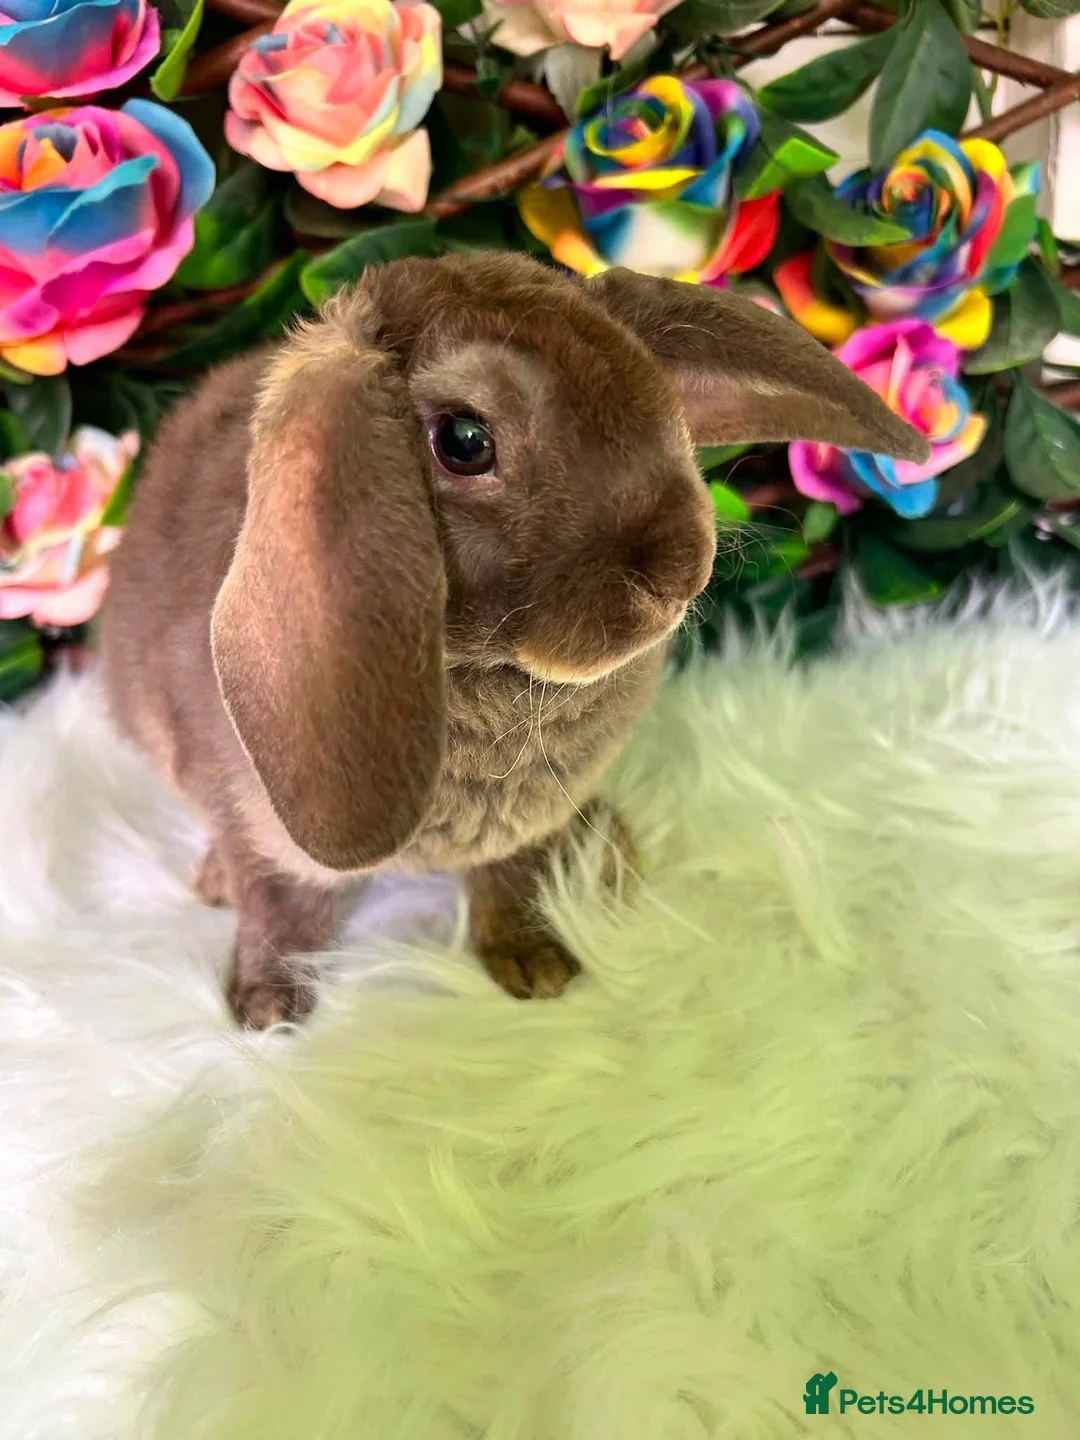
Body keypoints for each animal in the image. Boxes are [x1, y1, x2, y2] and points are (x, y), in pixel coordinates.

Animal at [99, 253, 928, 1028]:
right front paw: (270, 1011)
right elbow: (278, 911)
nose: (677, 571)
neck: (487, 675)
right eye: (465, 441)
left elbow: (514, 884)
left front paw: (541, 967)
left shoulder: (523, 831)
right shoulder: (267, 841)